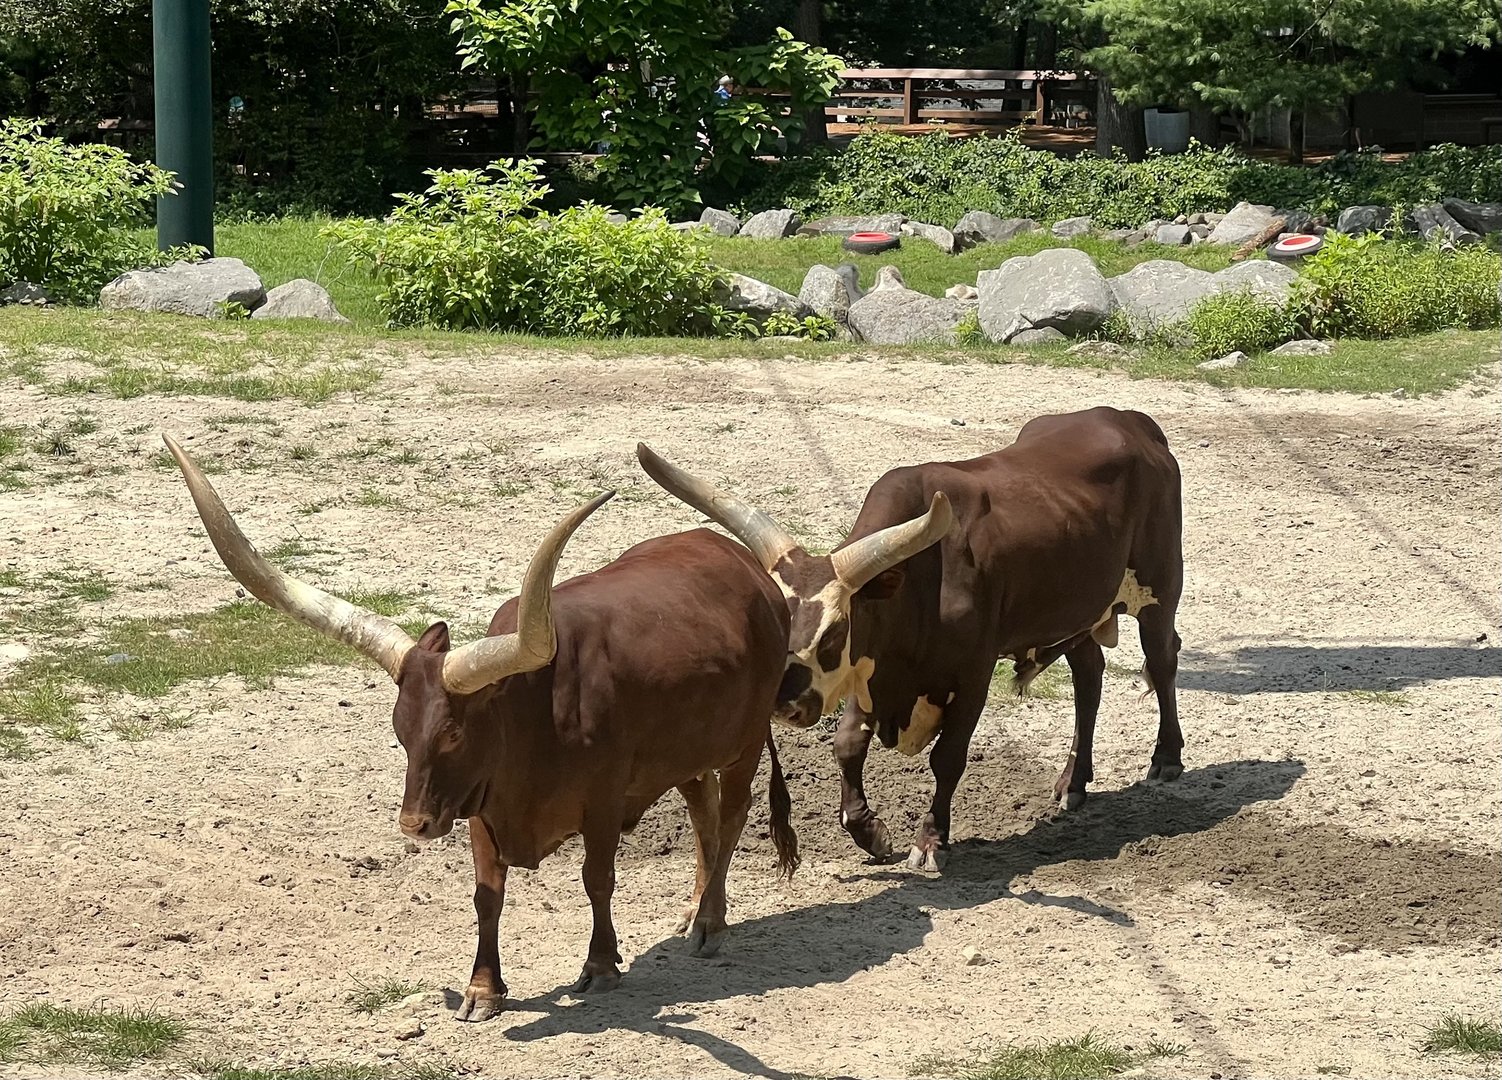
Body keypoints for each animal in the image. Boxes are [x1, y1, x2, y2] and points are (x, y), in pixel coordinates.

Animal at [163, 434, 799, 1022]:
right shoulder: (478, 805)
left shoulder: (602, 799)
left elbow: (597, 878)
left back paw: (711, 922)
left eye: (453, 733)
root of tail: (746, 567)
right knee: (703, 810)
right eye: (399, 731)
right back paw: (693, 911)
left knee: (733, 814)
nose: (413, 824)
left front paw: (600, 966)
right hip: (687, 751)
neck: (535, 713)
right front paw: (482, 988)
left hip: (744, 742)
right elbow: (486, 895)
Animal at [637, 406, 1184, 872]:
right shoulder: (871, 670)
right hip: (1077, 609)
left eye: (835, 631)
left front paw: (930, 839)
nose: (783, 704)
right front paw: (869, 832)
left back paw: (1166, 759)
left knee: (1162, 660)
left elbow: (948, 758)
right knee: (1089, 675)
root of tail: (1132, 421)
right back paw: (1073, 781)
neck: (921, 580)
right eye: (775, 621)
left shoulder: (972, 674)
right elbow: (847, 745)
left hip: (1160, 586)